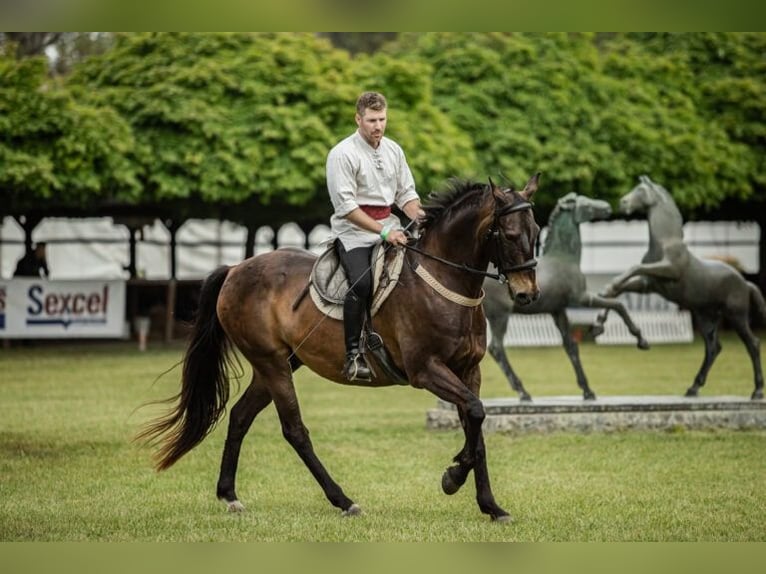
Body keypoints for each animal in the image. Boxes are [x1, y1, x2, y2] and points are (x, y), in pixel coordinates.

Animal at [140, 176, 544, 520]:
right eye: (509, 234)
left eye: (536, 232)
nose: (527, 294)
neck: (443, 279)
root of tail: (237, 268)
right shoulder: (426, 370)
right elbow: (475, 414)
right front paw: (453, 476)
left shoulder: (467, 371)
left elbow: (476, 426)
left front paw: (490, 505)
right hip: (272, 363)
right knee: (294, 431)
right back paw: (343, 500)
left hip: (279, 364)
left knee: (240, 416)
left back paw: (229, 495)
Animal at [486, 194, 648, 400]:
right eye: (585, 204)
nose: (607, 207)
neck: (564, 258)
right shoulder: (581, 299)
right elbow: (617, 304)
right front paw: (638, 339)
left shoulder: (558, 311)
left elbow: (570, 346)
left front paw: (587, 391)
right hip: (500, 315)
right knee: (496, 348)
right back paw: (523, 392)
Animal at [600, 176, 766, 400]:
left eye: (641, 190)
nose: (622, 203)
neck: (666, 243)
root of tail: (745, 283)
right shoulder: (649, 284)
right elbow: (620, 289)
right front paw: (601, 322)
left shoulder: (667, 270)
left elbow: (633, 268)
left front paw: (609, 288)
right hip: (706, 317)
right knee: (713, 348)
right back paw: (693, 389)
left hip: (736, 316)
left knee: (753, 344)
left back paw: (757, 391)